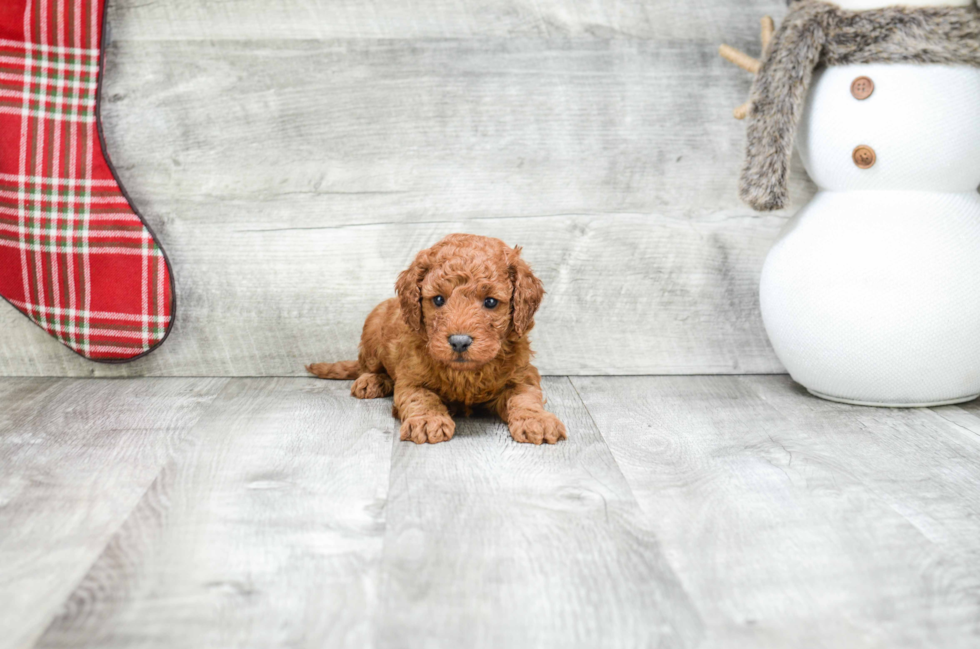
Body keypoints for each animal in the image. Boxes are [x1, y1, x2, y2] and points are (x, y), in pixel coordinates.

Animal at [306, 234, 568, 446]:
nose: (459, 341)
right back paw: (372, 381)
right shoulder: (411, 377)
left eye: (491, 302)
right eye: (439, 299)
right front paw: (427, 421)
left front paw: (537, 420)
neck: (466, 374)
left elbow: (526, 396)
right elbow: (421, 397)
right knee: (368, 366)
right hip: (373, 327)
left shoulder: (522, 374)